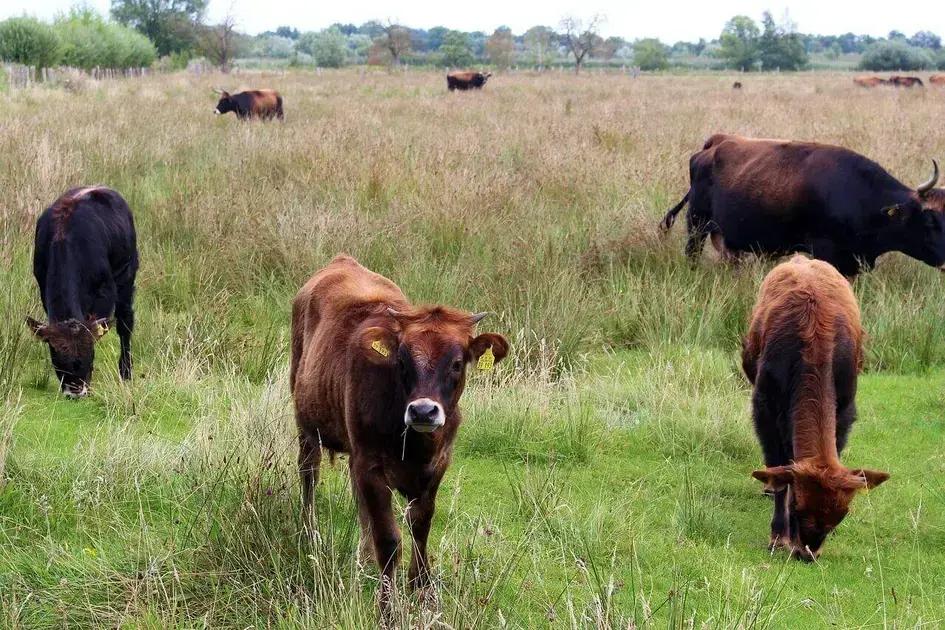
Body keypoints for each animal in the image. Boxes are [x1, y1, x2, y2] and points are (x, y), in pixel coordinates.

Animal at [27, 185, 138, 400]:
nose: (76, 392)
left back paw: (126, 372)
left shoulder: (105, 291)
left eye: (89, 354)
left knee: (125, 323)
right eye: (56, 356)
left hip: (127, 274)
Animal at [290, 254, 506, 616]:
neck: (416, 446)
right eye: (402, 361)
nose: (423, 411)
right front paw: (387, 608)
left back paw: (363, 558)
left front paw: (422, 590)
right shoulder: (371, 465)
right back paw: (310, 533)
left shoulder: (437, 465)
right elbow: (390, 539)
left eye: (457, 363)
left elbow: (420, 524)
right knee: (309, 472)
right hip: (306, 422)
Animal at [740, 256, 888, 564]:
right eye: (798, 506)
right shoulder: (764, 408)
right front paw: (778, 536)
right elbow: (778, 470)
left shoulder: (845, 409)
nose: (807, 553)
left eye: (842, 514)